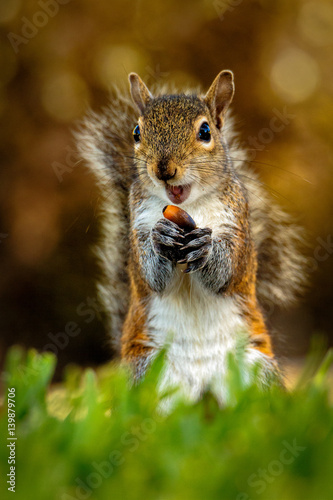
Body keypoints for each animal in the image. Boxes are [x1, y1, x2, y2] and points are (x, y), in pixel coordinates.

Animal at [76, 70, 304, 404]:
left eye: (205, 131)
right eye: (136, 132)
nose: (164, 169)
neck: (189, 207)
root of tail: (202, 394)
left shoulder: (238, 227)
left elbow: (228, 272)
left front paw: (206, 249)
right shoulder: (138, 226)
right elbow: (150, 276)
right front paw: (160, 238)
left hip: (256, 370)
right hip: (148, 371)